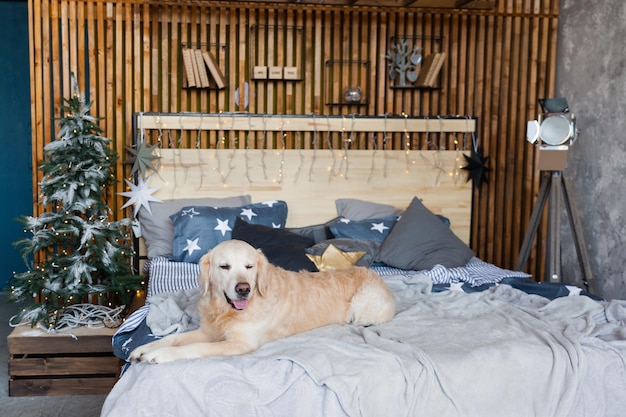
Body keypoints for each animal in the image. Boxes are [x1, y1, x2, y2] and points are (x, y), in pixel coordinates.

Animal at [130, 239, 394, 362]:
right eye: (224, 266)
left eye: (249, 266)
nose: (243, 289)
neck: (225, 310)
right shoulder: (209, 331)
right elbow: (173, 338)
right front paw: (143, 349)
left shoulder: (240, 343)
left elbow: (195, 348)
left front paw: (160, 355)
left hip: (363, 303)